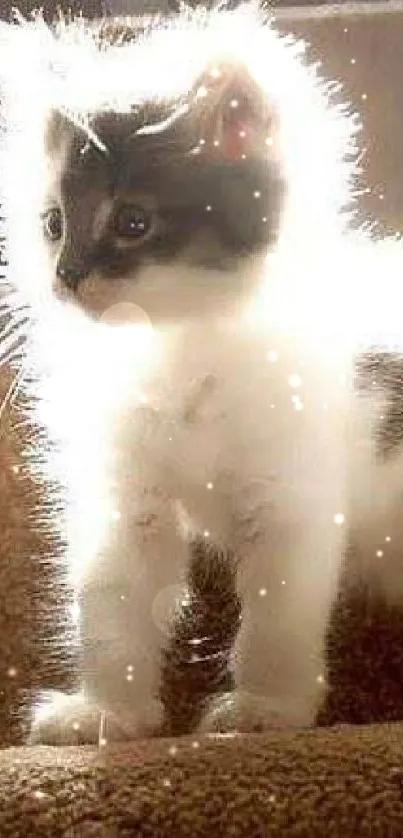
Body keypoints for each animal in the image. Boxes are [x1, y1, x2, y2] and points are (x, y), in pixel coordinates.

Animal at [1, 4, 402, 740]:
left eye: (133, 221)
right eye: (52, 224)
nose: (65, 277)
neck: (174, 347)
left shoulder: (290, 494)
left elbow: (276, 618)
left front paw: (266, 709)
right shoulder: (125, 499)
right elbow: (112, 605)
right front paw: (108, 713)